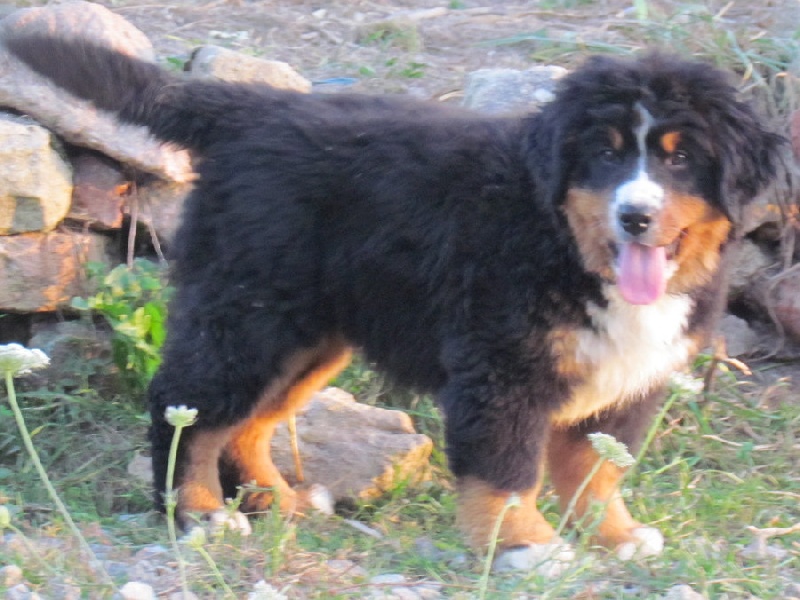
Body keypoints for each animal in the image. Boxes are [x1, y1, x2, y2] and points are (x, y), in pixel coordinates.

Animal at [8, 35, 782, 567]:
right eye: (606, 152)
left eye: (680, 158)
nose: (636, 216)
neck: (562, 241)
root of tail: (256, 109)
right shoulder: (501, 367)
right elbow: (507, 470)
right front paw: (525, 546)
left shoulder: (631, 377)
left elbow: (597, 469)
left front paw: (614, 536)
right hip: (248, 314)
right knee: (188, 409)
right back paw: (198, 513)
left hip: (309, 335)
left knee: (249, 424)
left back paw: (283, 501)